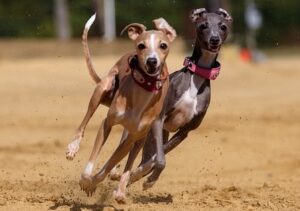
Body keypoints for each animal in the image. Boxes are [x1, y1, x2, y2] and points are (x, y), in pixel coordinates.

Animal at [64, 14, 176, 202]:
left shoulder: (133, 137)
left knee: (127, 160)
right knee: (84, 122)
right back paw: (73, 147)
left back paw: (121, 191)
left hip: (140, 136)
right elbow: (94, 159)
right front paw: (86, 180)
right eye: (141, 45)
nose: (152, 61)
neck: (142, 92)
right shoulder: (107, 123)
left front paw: (97, 184)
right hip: (102, 88)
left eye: (163, 45)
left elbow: (112, 164)